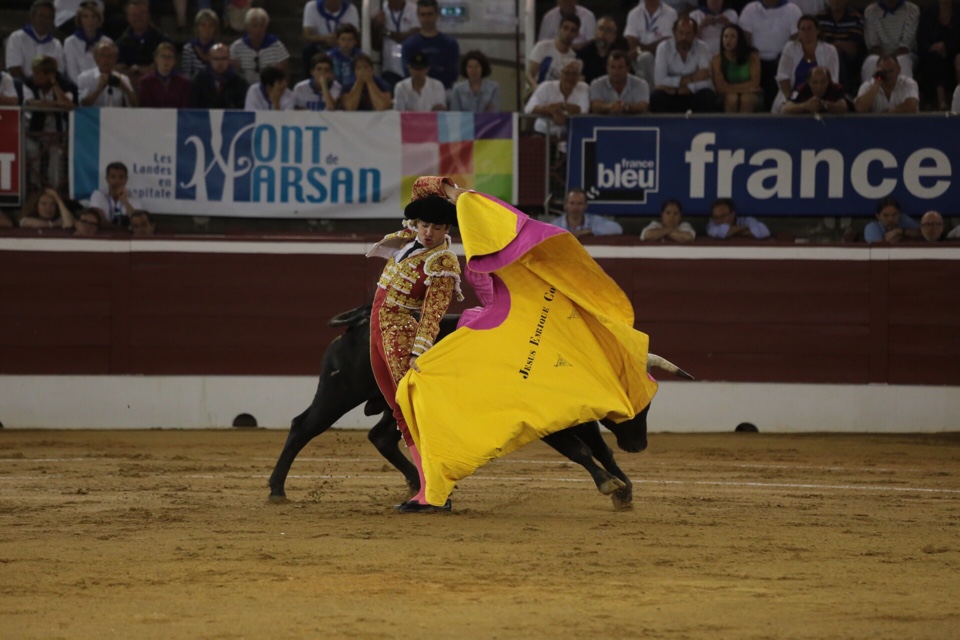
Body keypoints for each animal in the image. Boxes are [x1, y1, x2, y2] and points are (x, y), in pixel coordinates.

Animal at [270, 304, 652, 510]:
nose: (640, 445)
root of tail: (361, 321)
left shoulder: (582, 419)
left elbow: (601, 449)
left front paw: (625, 489)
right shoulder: (545, 425)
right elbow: (581, 451)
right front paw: (609, 485)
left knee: (381, 436)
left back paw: (418, 483)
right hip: (339, 391)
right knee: (303, 427)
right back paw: (277, 489)